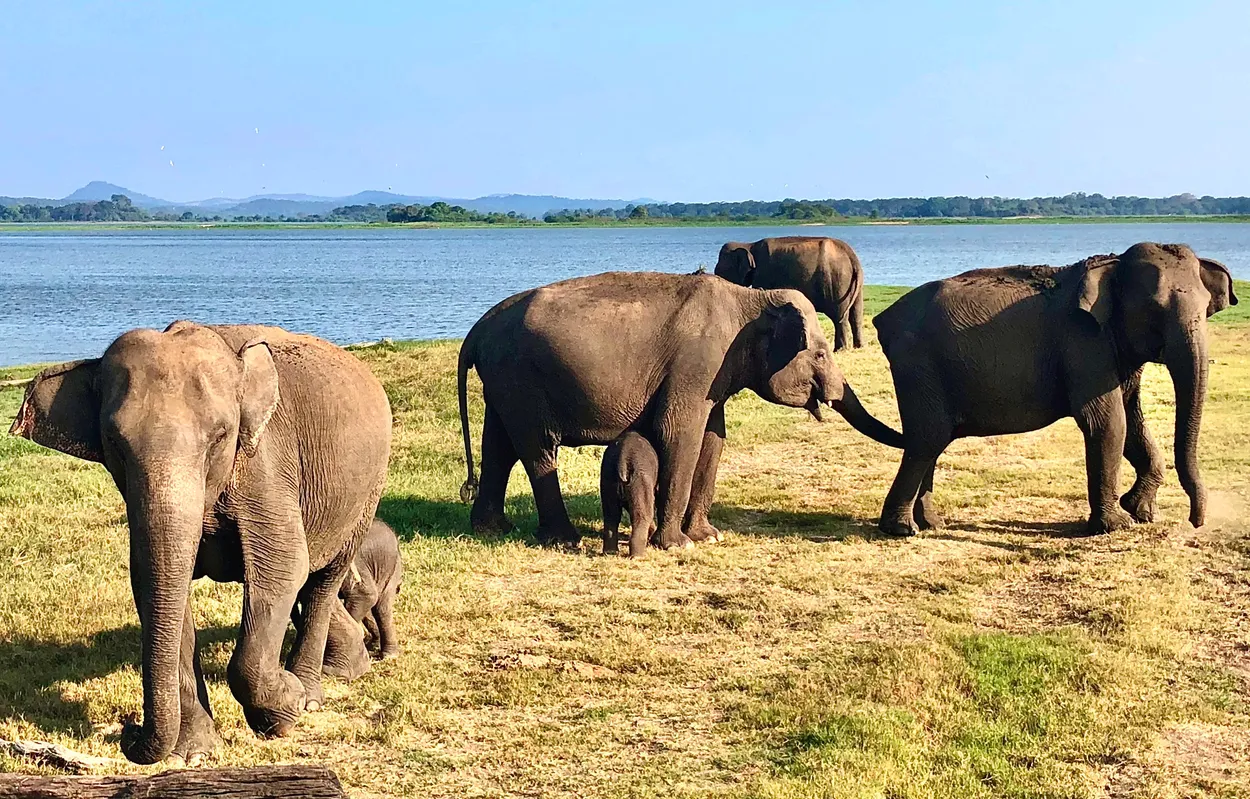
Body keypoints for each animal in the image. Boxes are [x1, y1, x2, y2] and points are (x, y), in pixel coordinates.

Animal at [8, 321, 391, 764]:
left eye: (220, 437)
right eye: (115, 444)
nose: (128, 730)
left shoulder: (266, 466)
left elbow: (280, 570)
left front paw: (286, 708)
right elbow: (154, 585)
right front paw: (193, 753)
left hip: (366, 492)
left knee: (322, 581)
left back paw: (313, 692)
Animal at [456, 271, 903, 554]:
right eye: (822, 353)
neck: (751, 298)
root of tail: (476, 329)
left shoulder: (714, 374)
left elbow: (713, 439)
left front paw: (708, 537)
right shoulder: (696, 364)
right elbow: (680, 432)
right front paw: (677, 545)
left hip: (504, 382)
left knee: (499, 446)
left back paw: (492, 529)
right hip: (521, 378)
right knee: (537, 450)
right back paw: (566, 540)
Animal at [715, 237, 866, 351]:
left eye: (720, 268)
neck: (749, 245)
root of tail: (852, 256)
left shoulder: (764, 274)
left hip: (838, 281)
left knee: (839, 317)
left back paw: (840, 350)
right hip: (853, 285)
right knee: (856, 314)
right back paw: (858, 347)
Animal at [871, 243, 1238, 537]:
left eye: (1207, 307)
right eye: (1154, 309)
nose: (1196, 522)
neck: (1113, 262)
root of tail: (885, 319)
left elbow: (1133, 421)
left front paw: (1140, 511)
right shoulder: (1084, 342)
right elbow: (1108, 423)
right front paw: (1117, 525)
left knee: (933, 441)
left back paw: (932, 524)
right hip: (919, 368)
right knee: (928, 438)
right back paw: (902, 530)